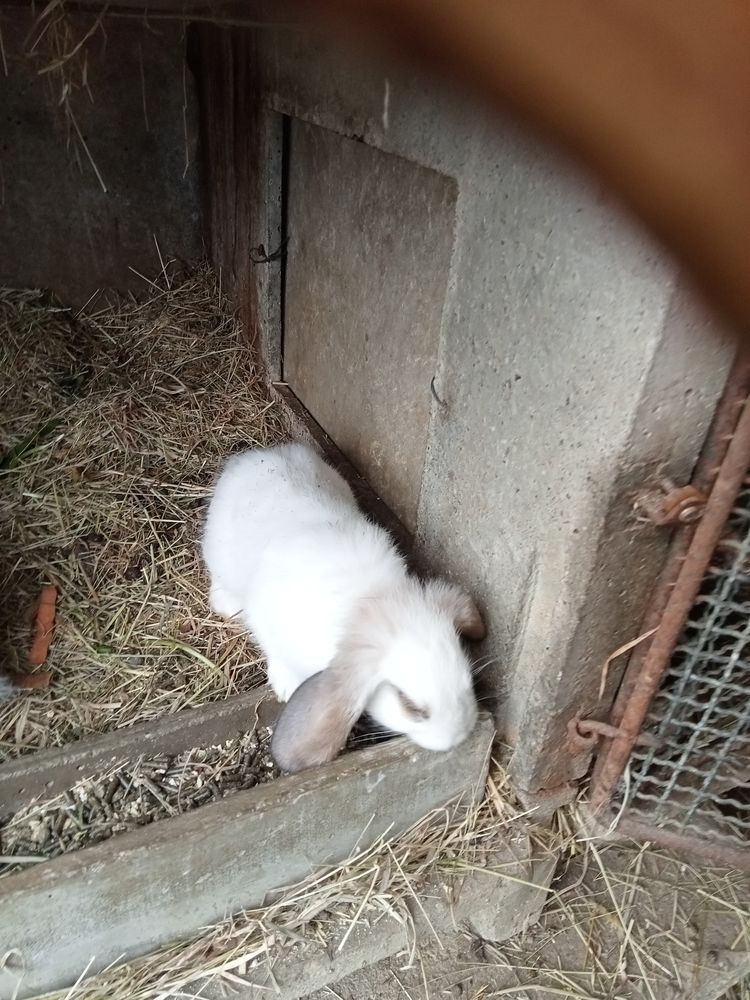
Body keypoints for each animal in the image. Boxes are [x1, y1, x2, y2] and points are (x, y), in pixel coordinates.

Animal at [201, 442, 486, 773]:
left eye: (469, 678)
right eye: (409, 704)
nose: (458, 736)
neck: (372, 605)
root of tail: (256, 457)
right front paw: (285, 685)